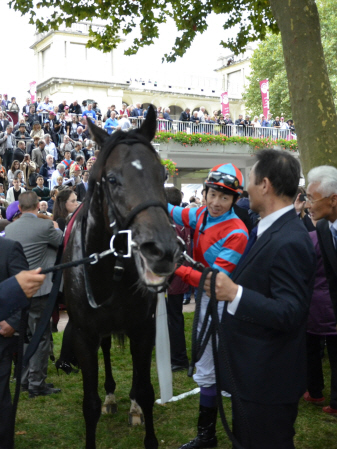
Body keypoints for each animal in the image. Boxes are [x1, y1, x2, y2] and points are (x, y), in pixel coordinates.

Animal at [62, 107, 180, 448]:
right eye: (112, 179)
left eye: (162, 174)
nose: (162, 249)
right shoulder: (83, 334)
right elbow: (89, 404)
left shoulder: (143, 328)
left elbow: (146, 390)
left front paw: (141, 413)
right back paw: (112, 397)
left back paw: (131, 406)